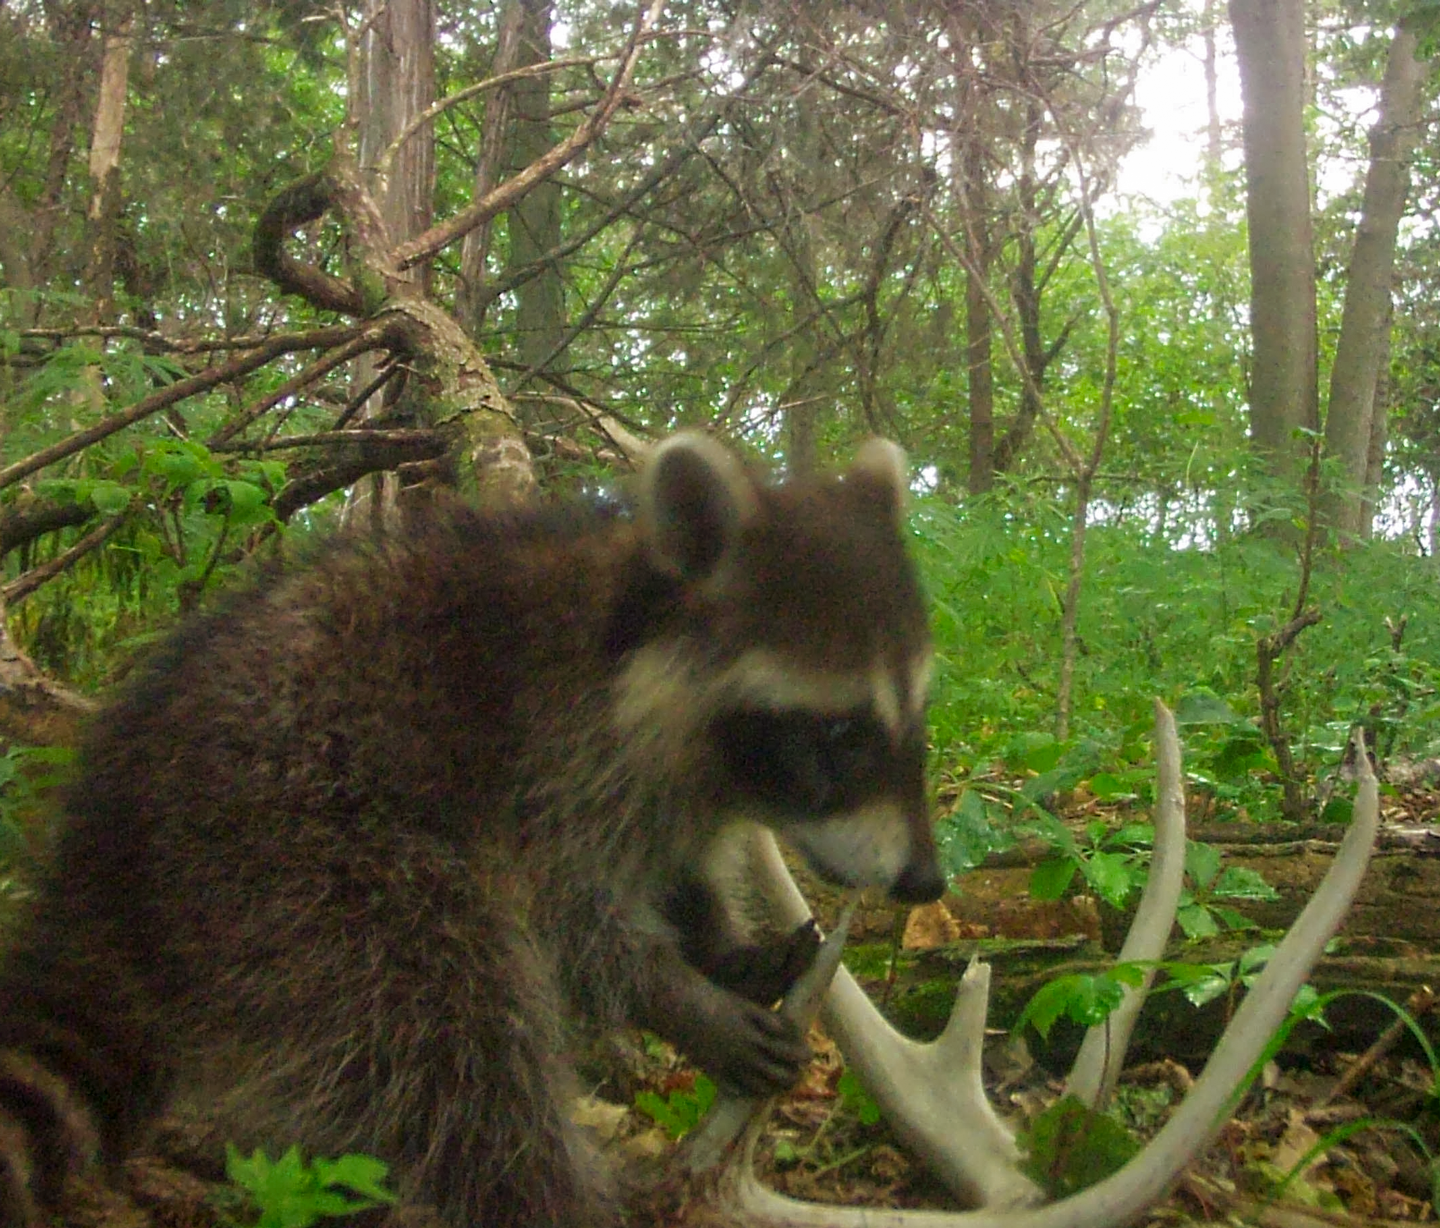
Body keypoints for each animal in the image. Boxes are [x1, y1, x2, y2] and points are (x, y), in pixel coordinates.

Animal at [0, 433, 940, 1228]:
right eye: (840, 733)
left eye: (915, 718)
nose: (926, 882)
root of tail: (111, 859)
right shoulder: (548, 754)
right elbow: (571, 919)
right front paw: (680, 996)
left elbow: (681, 871)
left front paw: (723, 948)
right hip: (296, 851)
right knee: (462, 1043)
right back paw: (551, 1193)